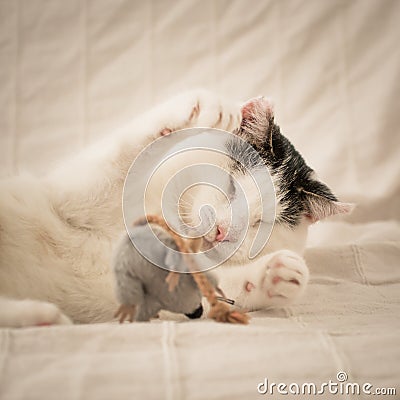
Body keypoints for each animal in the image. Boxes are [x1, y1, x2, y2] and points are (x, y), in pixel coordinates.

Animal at [0, 91, 350, 328]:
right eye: (231, 186)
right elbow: (123, 151)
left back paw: (42, 317)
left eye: (261, 223)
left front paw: (276, 275)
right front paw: (203, 107)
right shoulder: (70, 197)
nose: (222, 231)